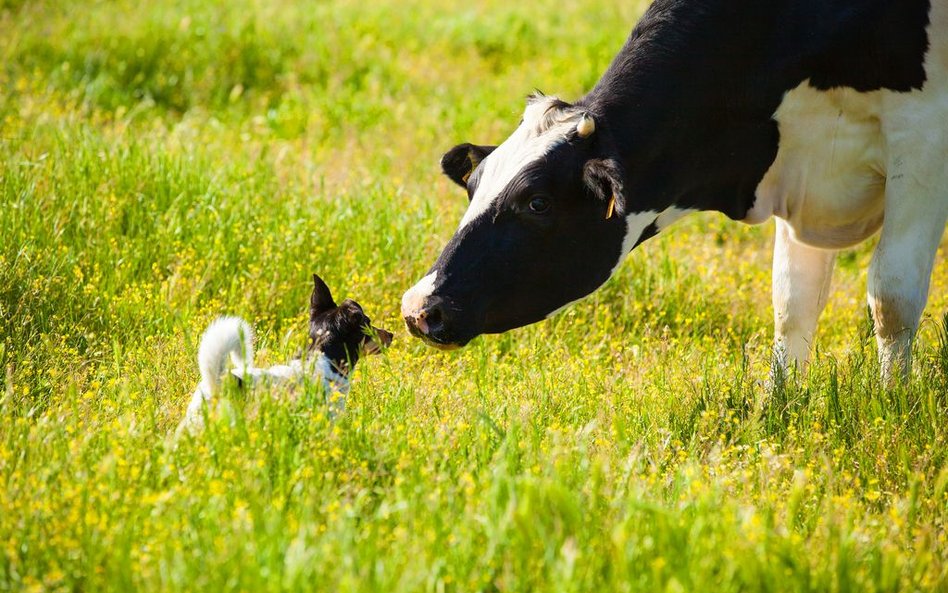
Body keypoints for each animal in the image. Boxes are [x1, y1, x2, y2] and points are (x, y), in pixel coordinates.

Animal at [402, 0, 948, 380]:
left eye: (537, 202)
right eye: (472, 187)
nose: (417, 308)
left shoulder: (922, 137)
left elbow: (892, 297)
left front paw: (894, 409)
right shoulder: (802, 167)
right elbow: (793, 303)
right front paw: (780, 407)